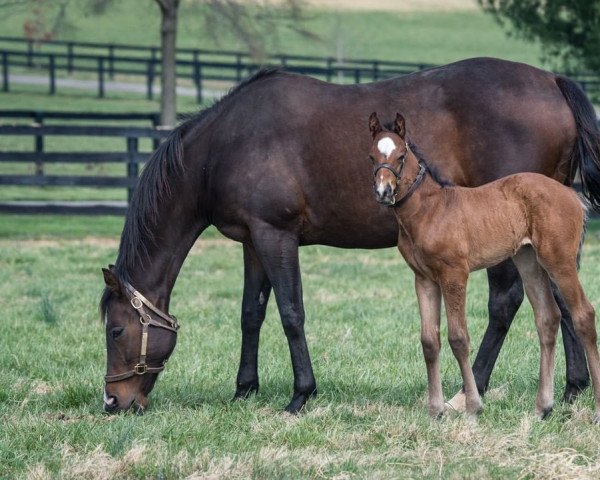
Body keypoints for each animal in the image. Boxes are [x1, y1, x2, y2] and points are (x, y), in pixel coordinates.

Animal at [368, 111, 596, 420]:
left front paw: (472, 405)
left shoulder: (454, 275)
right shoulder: (424, 279)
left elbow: (458, 338)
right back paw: (542, 407)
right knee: (548, 318)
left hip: (559, 262)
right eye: (371, 156)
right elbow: (429, 341)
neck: (430, 210)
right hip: (529, 261)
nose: (383, 191)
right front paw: (435, 410)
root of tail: (572, 195)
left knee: (584, 314)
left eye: (401, 156)